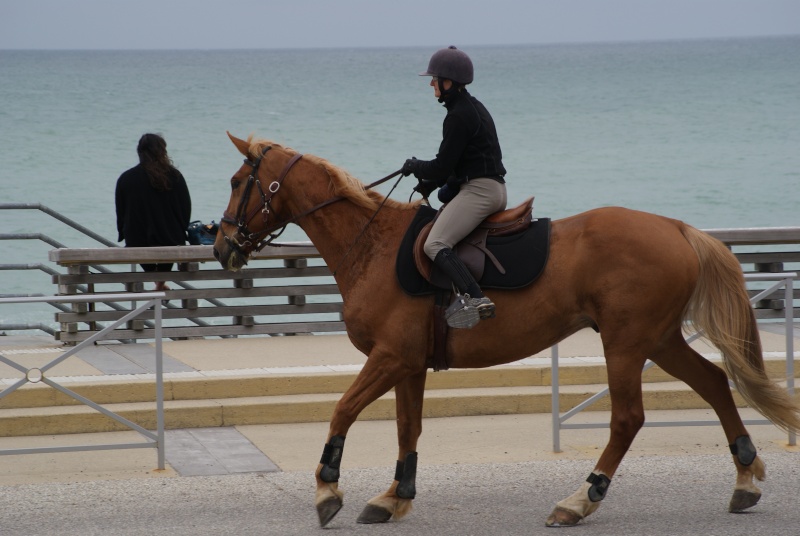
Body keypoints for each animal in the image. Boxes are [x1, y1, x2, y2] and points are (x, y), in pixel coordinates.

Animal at [212, 133, 800, 528]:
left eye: (239, 182)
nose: (221, 247)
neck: (371, 244)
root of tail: (676, 227)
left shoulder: (389, 357)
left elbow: (343, 411)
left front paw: (327, 491)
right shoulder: (407, 364)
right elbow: (407, 428)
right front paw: (395, 495)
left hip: (627, 343)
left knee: (628, 419)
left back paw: (579, 499)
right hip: (658, 339)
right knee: (715, 383)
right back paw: (745, 478)